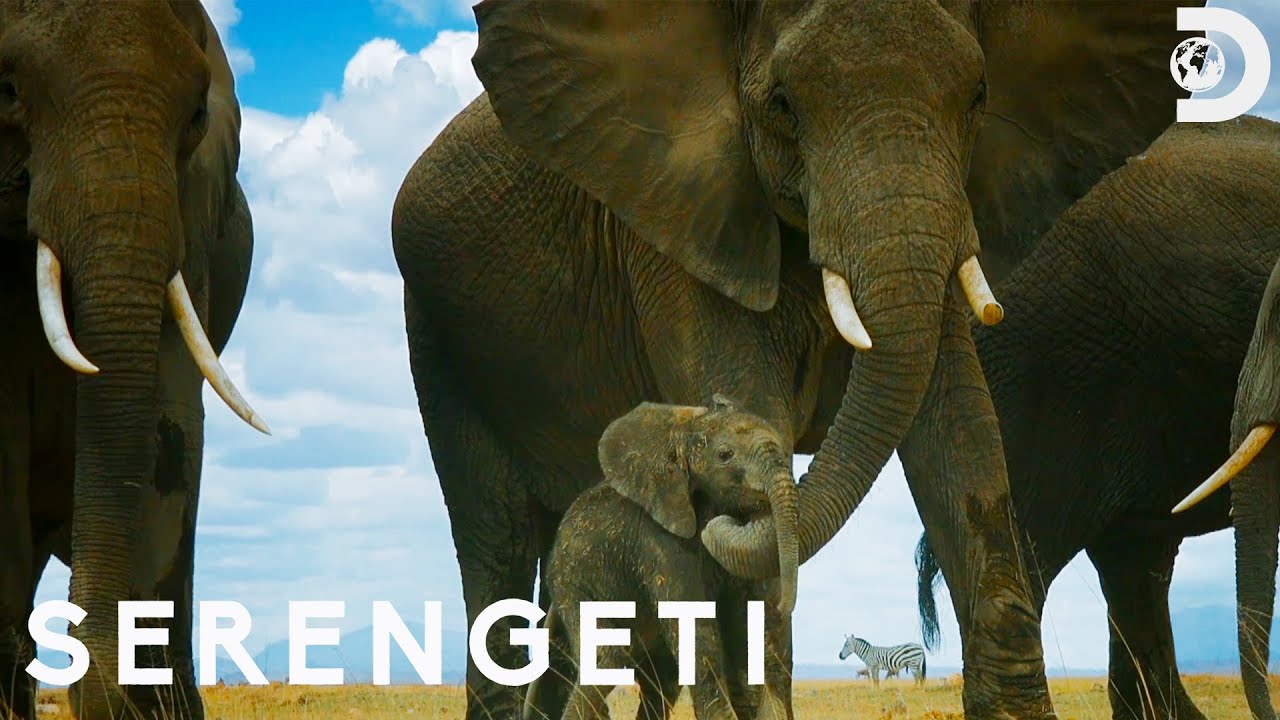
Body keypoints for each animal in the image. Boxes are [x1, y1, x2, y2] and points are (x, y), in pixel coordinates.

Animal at [523, 395, 797, 720]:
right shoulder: (659, 542)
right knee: (607, 658)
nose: (786, 604)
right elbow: (700, 638)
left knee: (661, 679)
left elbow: (748, 632)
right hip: (571, 581)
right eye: (725, 455)